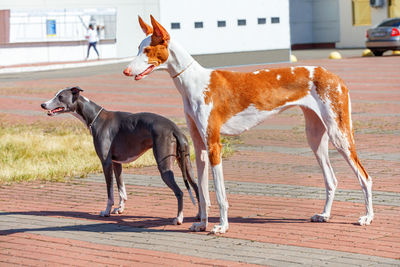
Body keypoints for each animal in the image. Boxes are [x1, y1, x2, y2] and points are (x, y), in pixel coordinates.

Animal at [40, 87, 200, 225]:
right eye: (55, 95)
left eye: (60, 97)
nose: (43, 105)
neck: (95, 117)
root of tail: (175, 129)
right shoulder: (117, 163)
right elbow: (121, 189)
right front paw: (120, 208)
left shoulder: (106, 163)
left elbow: (110, 191)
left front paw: (106, 211)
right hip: (186, 163)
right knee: (197, 187)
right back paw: (199, 215)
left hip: (164, 167)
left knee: (180, 192)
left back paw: (179, 218)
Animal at [123, 16, 374, 234]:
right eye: (137, 48)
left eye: (147, 51)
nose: (125, 71)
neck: (193, 82)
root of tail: (334, 76)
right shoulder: (200, 148)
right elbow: (203, 192)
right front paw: (202, 223)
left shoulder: (214, 146)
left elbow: (219, 193)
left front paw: (222, 226)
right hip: (315, 138)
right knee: (331, 179)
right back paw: (325, 215)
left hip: (339, 135)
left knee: (365, 177)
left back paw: (367, 217)